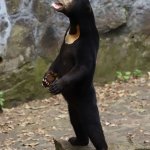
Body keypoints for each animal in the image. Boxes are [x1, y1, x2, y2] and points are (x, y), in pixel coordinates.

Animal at [42, 0, 108, 149]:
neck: (75, 28)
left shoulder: (86, 44)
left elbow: (82, 67)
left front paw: (56, 86)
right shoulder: (65, 41)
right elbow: (58, 59)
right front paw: (47, 79)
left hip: (85, 100)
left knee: (92, 126)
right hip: (72, 108)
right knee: (76, 123)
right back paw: (76, 140)